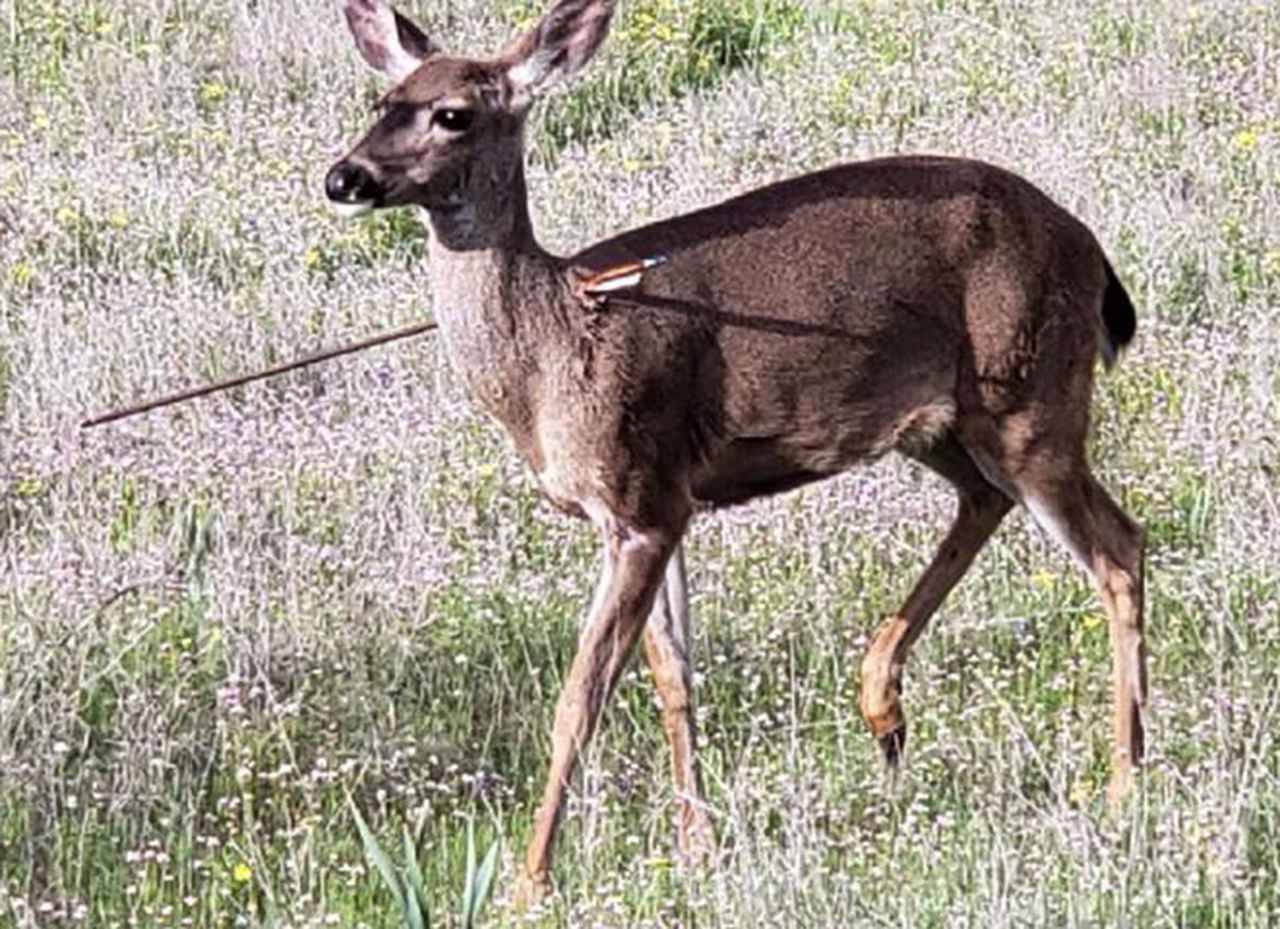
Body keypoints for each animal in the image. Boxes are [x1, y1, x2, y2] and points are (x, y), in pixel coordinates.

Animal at [322, 0, 1152, 905]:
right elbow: (673, 677)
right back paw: (884, 706)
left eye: (453, 114)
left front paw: (528, 882)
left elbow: (581, 695)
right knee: (993, 502)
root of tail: (1092, 249)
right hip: (944, 423)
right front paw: (697, 848)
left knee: (1118, 549)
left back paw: (1122, 780)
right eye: (381, 101)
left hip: (1031, 393)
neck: (552, 349)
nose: (343, 177)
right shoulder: (661, 500)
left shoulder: (639, 494)